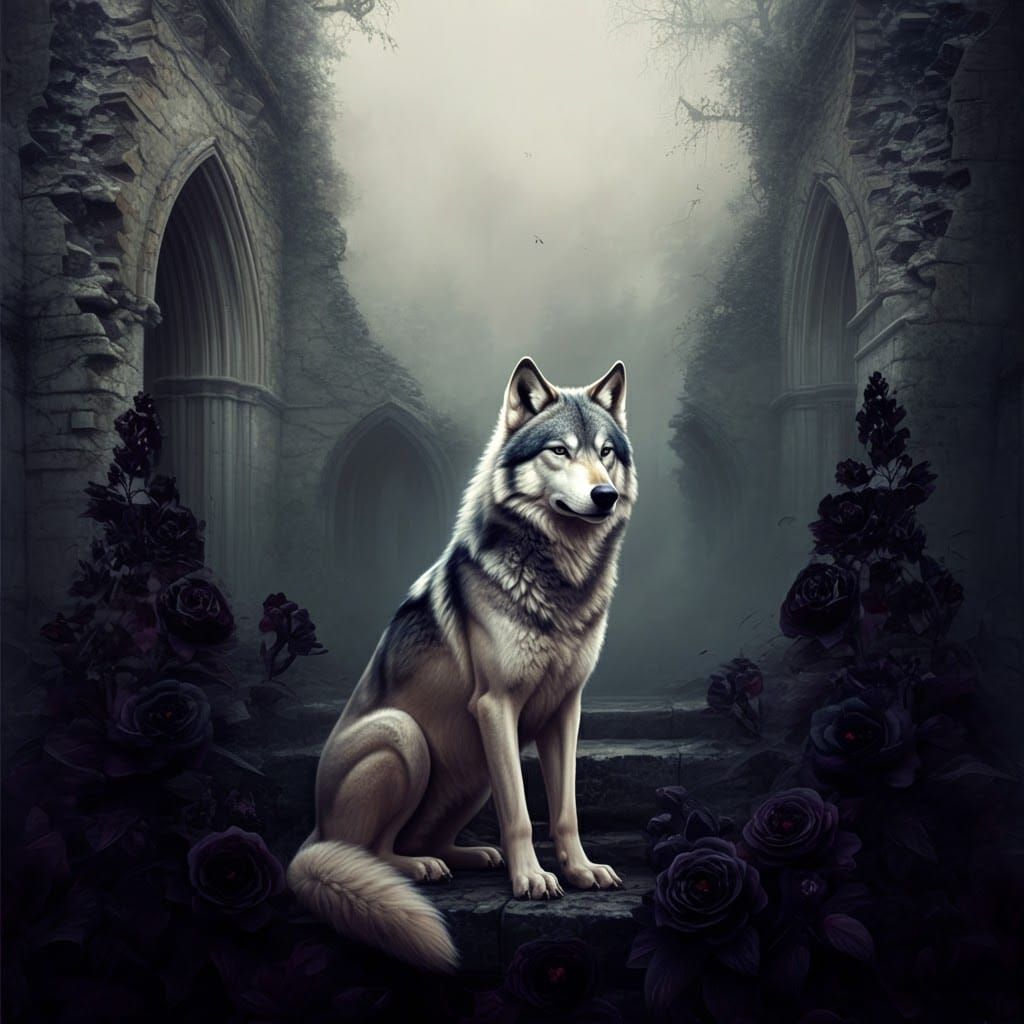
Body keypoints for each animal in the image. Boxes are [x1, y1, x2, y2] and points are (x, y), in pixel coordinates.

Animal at [287, 357, 636, 972]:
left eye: (606, 451)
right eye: (560, 451)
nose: (605, 495)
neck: (559, 579)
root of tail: (312, 832)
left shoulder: (565, 711)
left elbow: (564, 809)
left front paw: (579, 870)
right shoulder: (496, 707)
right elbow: (521, 813)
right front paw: (533, 881)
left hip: (471, 770)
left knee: (420, 838)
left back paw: (472, 854)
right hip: (406, 735)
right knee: (371, 851)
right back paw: (421, 869)